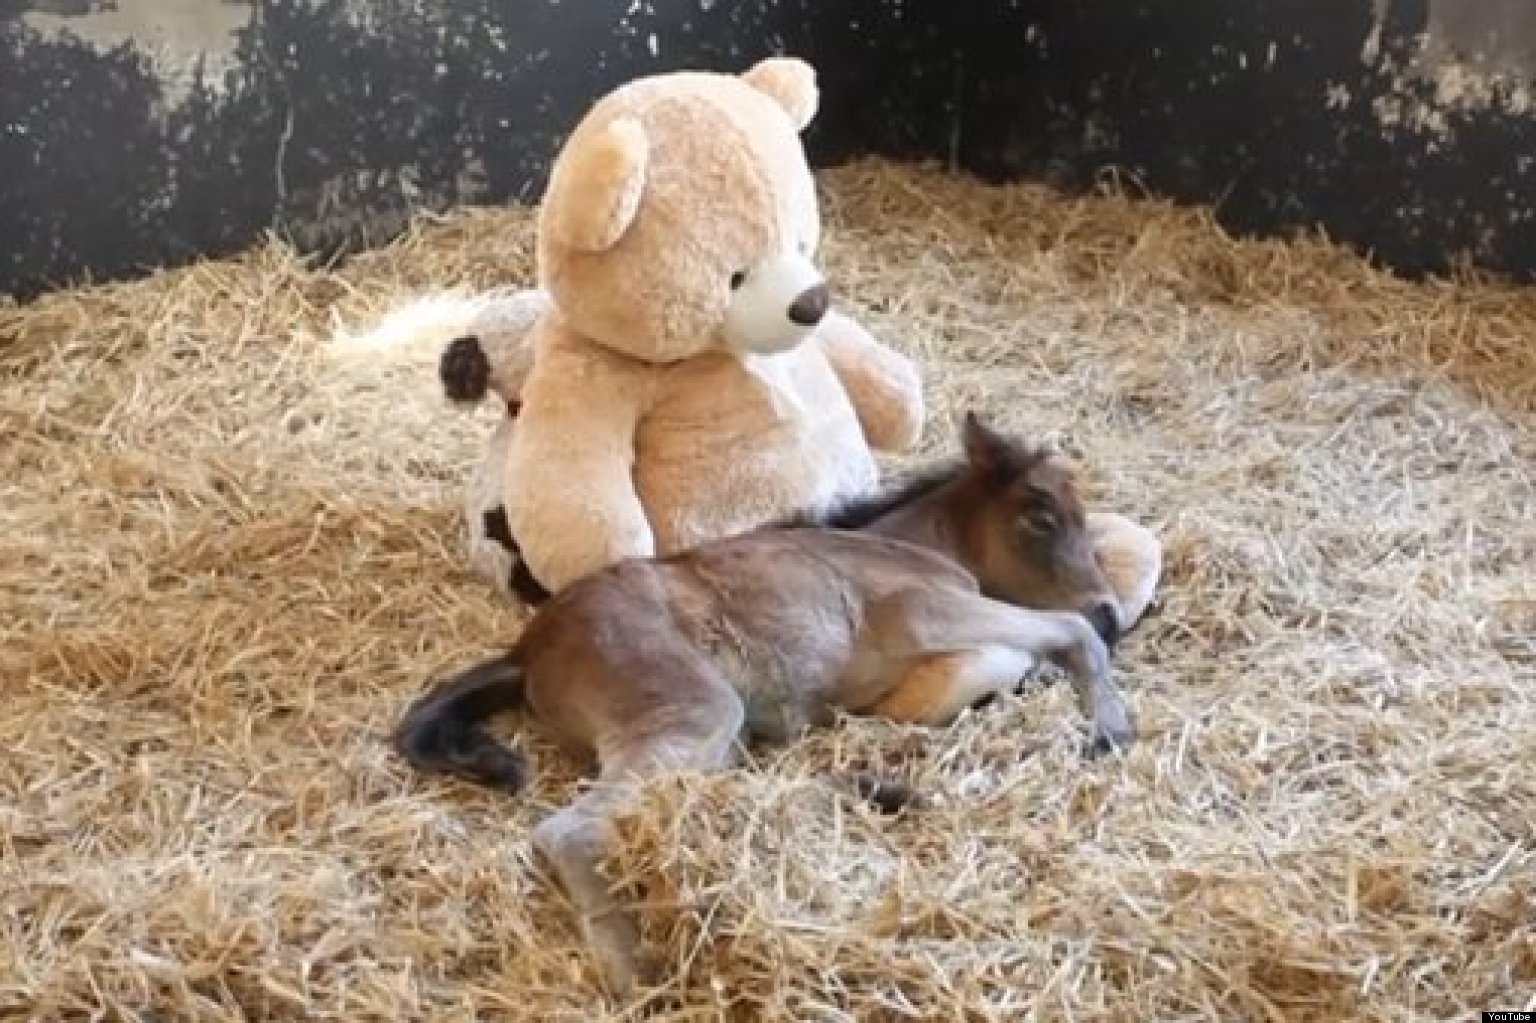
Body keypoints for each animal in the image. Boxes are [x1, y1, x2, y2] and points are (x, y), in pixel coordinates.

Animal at [393, 408, 1142, 995]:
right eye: (1040, 518)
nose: (1111, 614)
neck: (912, 546)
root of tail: (528, 648)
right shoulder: (925, 611)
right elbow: (1059, 634)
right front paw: (1109, 726)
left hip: (710, 736)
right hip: (695, 709)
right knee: (567, 828)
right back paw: (636, 969)